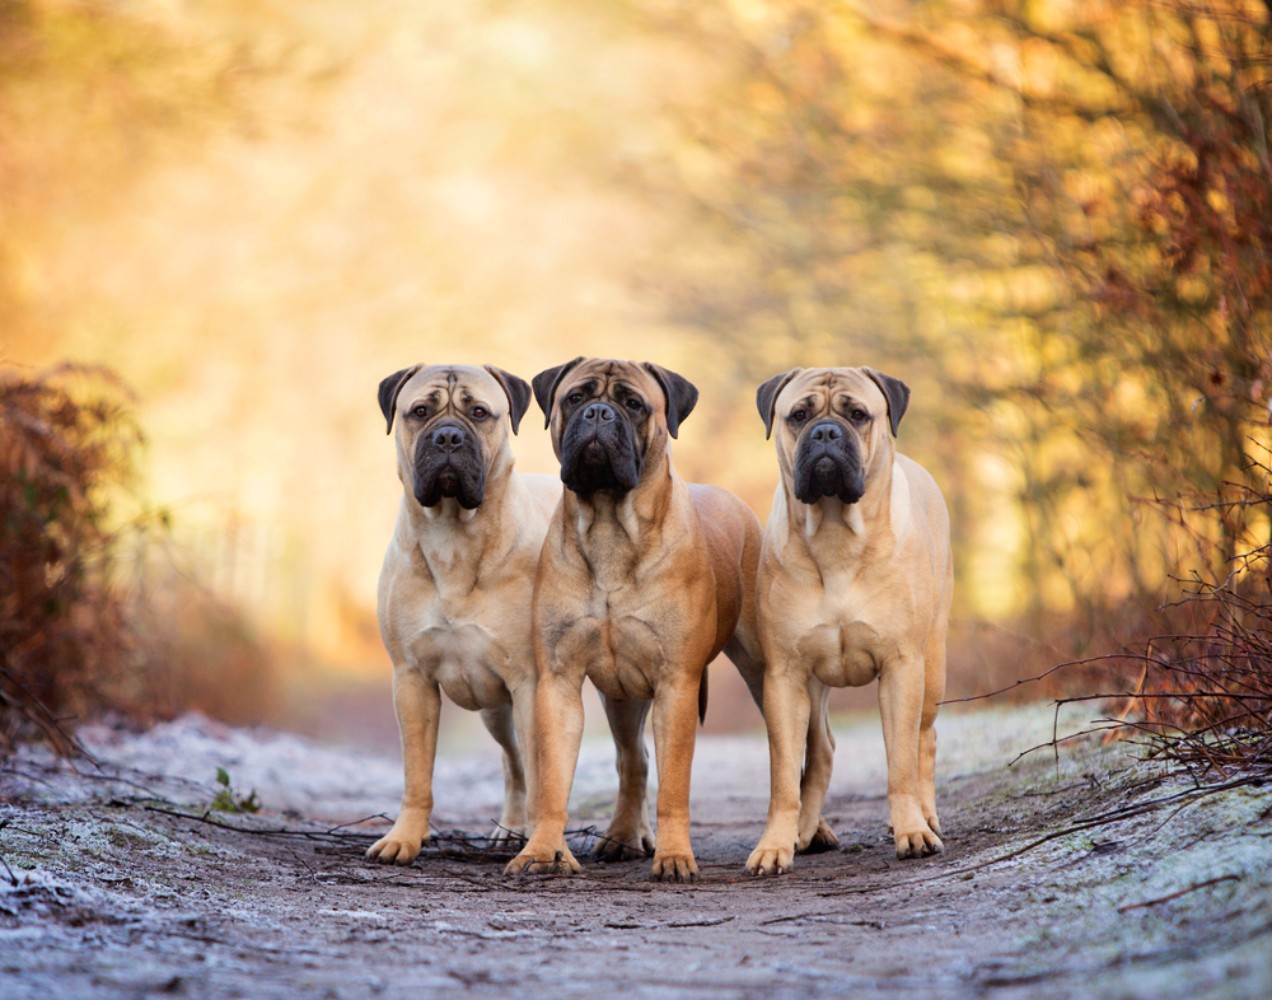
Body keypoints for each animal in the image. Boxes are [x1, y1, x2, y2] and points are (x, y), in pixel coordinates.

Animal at [366, 361, 559, 860]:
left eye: (479, 412)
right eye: (419, 411)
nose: (449, 436)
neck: (453, 535)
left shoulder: (531, 682)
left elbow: (543, 771)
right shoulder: (412, 679)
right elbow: (417, 774)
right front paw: (405, 837)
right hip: (496, 709)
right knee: (513, 763)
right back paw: (511, 827)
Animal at [503, 358, 763, 880]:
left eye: (634, 404)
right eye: (576, 398)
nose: (599, 413)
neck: (609, 525)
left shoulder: (676, 684)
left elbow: (675, 785)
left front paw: (675, 857)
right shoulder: (559, 682)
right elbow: (553, 779)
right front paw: (541, 851)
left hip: (765, 670)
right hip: (621, 695)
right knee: (633, 758)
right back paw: (624, 836)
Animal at [742, 366, 956, 875]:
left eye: (858, 415)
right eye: (798, 415)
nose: (825, 432)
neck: (836, 533)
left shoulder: (902, 668)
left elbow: (900, 762)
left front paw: (911, 831)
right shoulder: (784, 678)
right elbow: (785, 775)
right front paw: (774, 844)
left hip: (933, 665)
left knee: (925, 739)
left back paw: (926, 816)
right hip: (812, 686)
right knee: (820, 754)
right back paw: (803, 832)